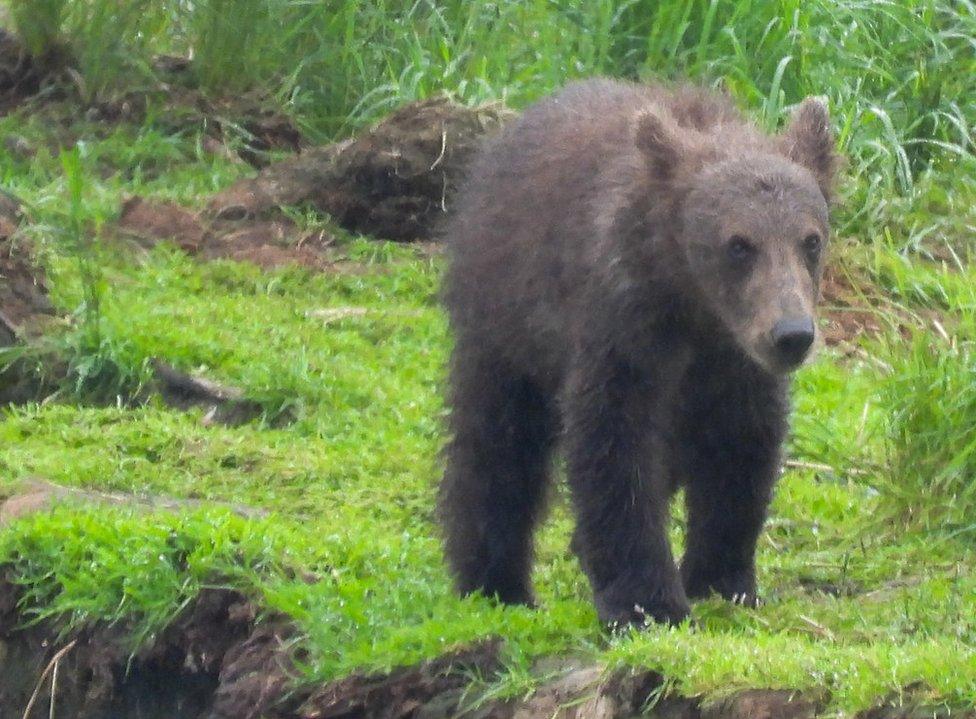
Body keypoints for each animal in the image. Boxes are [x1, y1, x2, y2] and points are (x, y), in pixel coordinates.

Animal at [438, 79, 836, 628]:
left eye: (810, 240)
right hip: (504, 320)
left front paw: (723, 577)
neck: (697, 309)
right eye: (739, 244)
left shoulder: (735, 366)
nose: (792, 334)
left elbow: (742, 449)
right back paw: (495, 580)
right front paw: (647, 601)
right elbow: (614, 450)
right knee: (497, 444)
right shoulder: (624, 329)